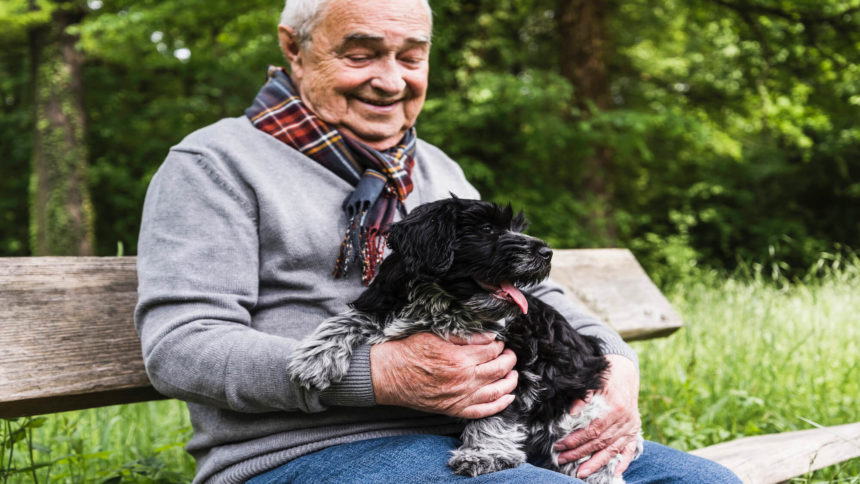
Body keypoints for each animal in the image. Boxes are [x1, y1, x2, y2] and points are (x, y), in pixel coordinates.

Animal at [290, 198, 644, 484]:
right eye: (487, 229)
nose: (547, 253)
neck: (443, 302)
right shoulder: (386, 307)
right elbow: (353, 319)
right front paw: (315, 358)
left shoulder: (509, 365)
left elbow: (497, 412)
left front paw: (485, 454)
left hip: (578, 421)